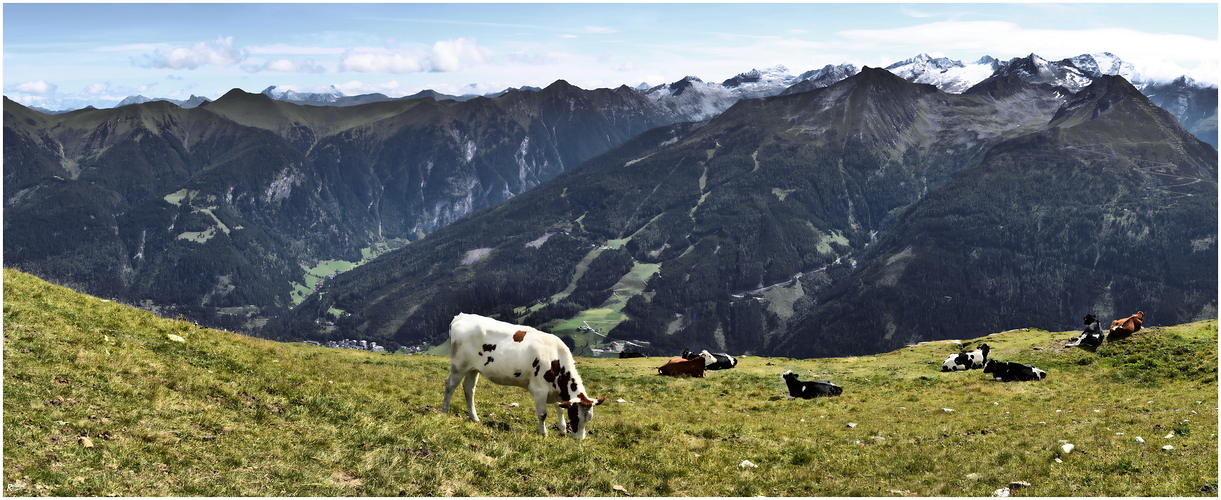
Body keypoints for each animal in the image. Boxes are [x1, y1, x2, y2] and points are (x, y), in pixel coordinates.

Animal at [444, 314, 605, 439]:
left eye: (589, 418)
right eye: (575, 416)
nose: (579, 439)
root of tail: (461, 316)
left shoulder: (556, 391)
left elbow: (559, 409)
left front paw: (562, 430)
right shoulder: (540, 390)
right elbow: (542, 414)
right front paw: (543, 433)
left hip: (473, 368)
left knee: (469, 389)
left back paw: (474, 418)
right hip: (459, 365)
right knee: (450, 385)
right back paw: (445, 411)